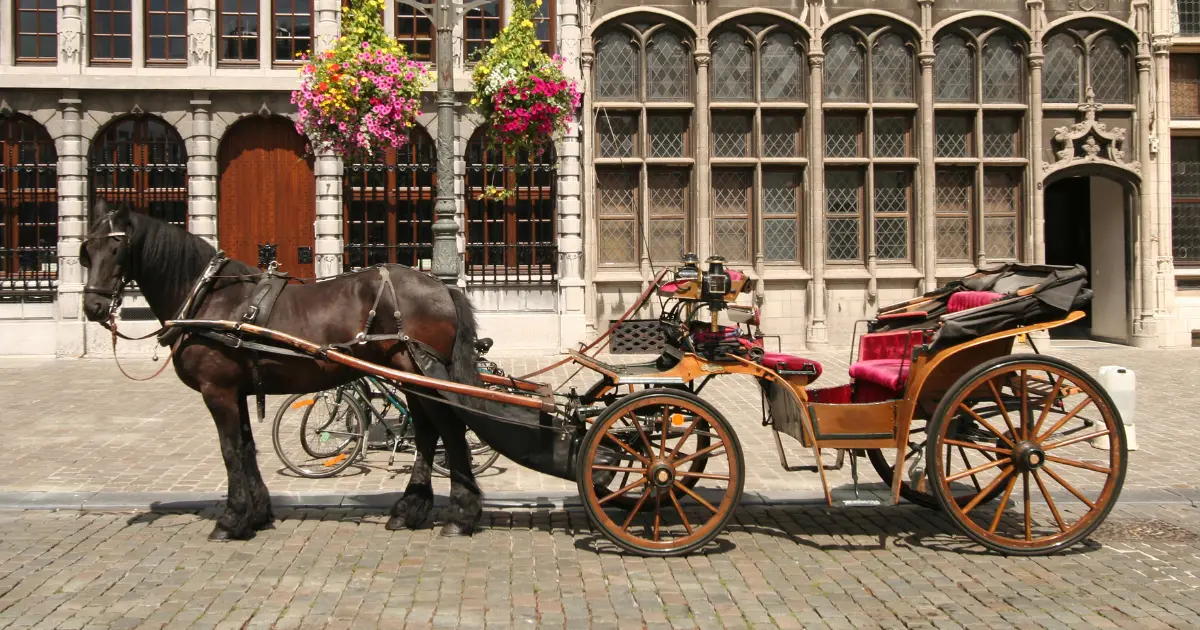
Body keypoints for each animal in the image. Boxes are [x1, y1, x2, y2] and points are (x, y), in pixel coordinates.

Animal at [79, 200, 484, 540]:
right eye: (87, 252)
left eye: (116, 250)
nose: (93, 306)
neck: (208, 297)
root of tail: (441, 286)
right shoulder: (236, 391)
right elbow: (246, 447)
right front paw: (256, 514)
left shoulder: (217, 390)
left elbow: (230, 450)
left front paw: (231, 520)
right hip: (410, 377)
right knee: (428, 433)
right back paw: (409, 510)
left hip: (423, 375)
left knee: (449, 431)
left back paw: (461, 515)